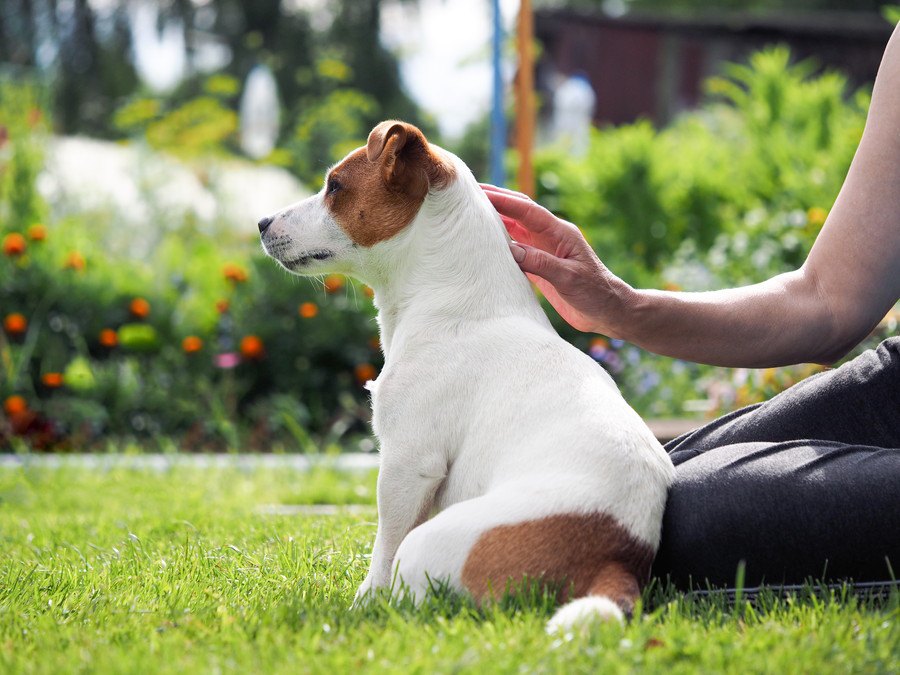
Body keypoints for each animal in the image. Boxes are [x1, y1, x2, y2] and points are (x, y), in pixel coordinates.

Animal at [256, 119, 672, 632]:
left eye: (335, 186)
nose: (261, 223)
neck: (453, 302)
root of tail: (616, 559)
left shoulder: (408, 464)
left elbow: (382, 550)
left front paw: (361, 605)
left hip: (431, 542)